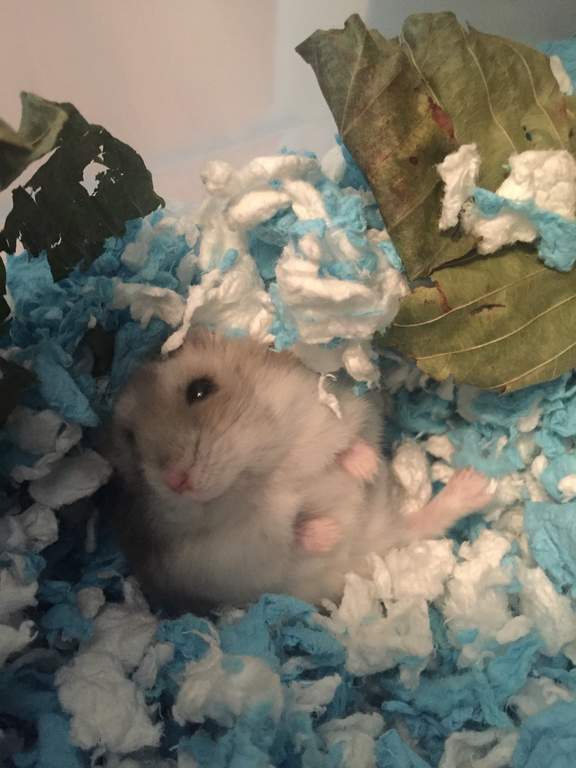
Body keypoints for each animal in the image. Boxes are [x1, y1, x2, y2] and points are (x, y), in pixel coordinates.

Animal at [105, 329, 493, 613]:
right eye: (129, 438)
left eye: (200, 390)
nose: (176, 482)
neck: (261, 474)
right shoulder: (227, 559)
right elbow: (291, 535)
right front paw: (329, 532)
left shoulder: (328, 410)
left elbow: (350, 443)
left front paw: (365, 470)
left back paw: (477, 483)